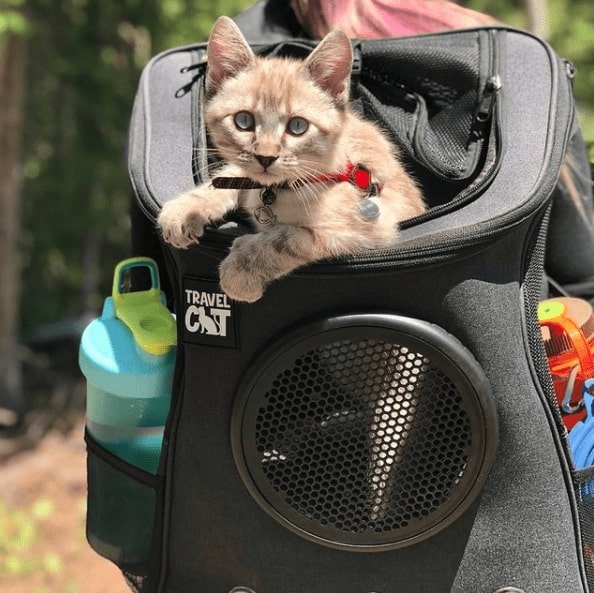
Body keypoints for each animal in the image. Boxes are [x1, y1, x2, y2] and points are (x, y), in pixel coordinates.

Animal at [157, 16, 426, 302]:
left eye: (298, 126)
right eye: (243, 121)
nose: (265, 157)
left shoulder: (371, 226)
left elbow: (289, 238)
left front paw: (241, 271)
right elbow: (230, 176)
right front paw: (185, 209)